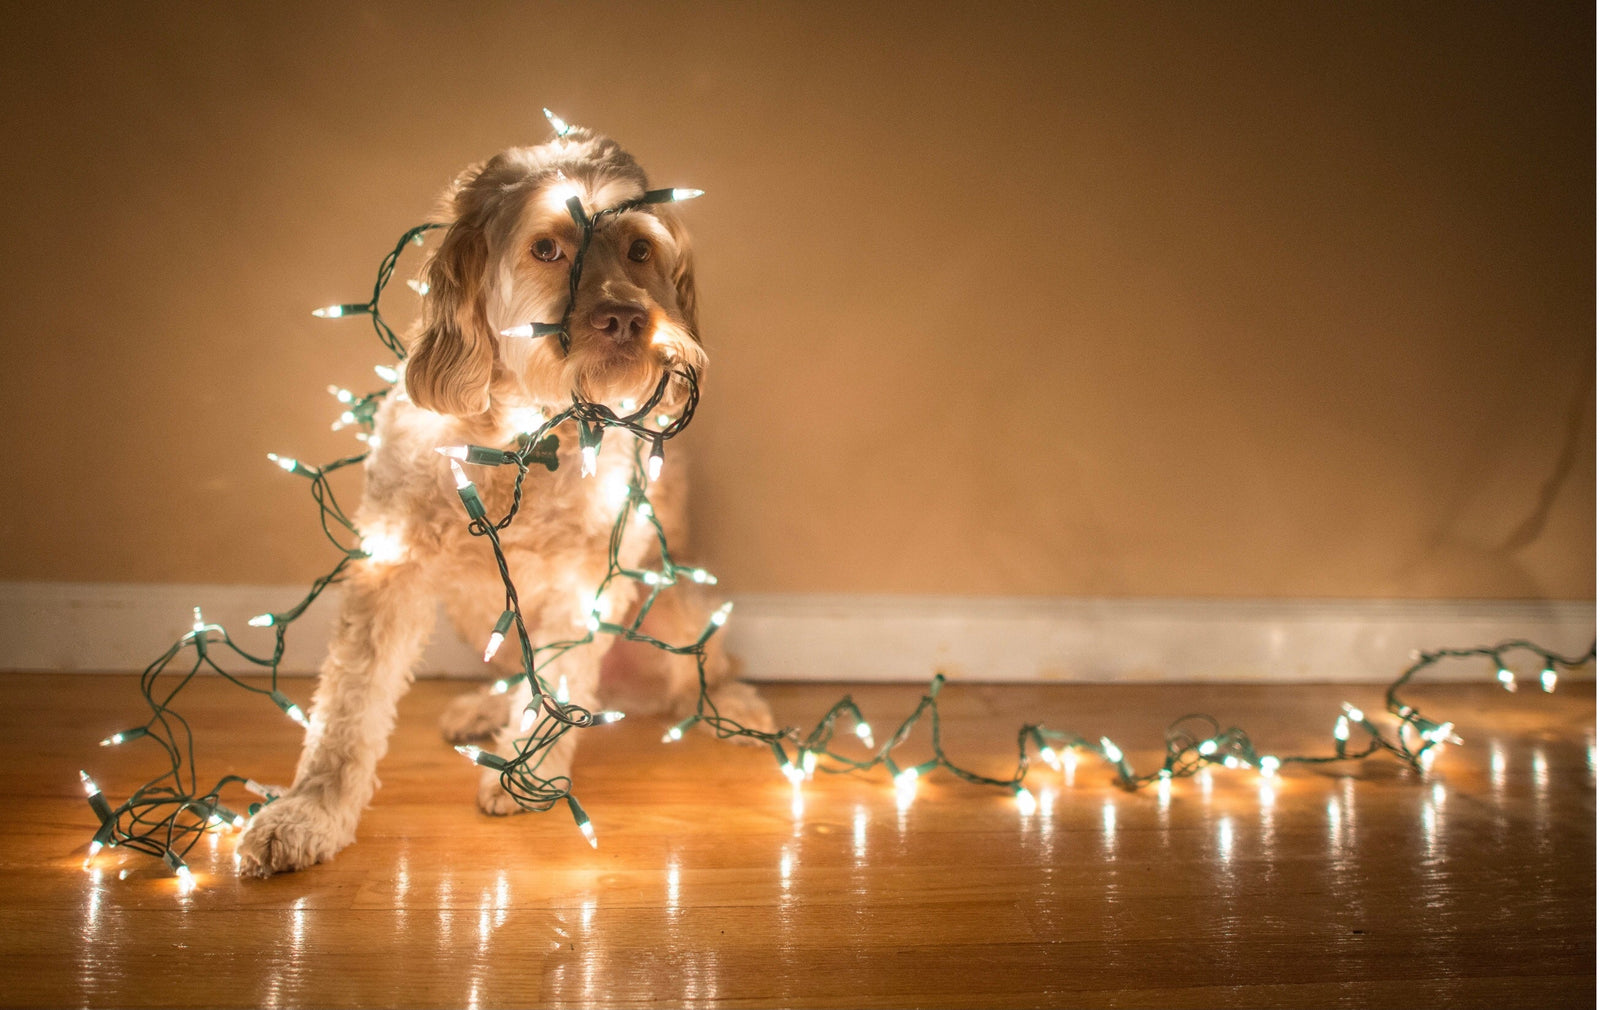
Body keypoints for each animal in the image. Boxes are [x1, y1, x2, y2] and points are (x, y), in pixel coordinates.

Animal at [238, 128, 780, 877]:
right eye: (546, 248)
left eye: (640, 249)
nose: (626, 319)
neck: (520, 435)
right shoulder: (388, 567)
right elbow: (347, 708)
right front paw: (310, 811)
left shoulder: (585, 583)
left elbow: (559, 677)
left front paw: (528, 772)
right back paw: (484, 709)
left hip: (673, 602)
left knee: (704, 667)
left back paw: (736, 706)